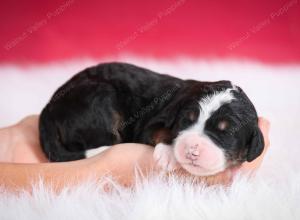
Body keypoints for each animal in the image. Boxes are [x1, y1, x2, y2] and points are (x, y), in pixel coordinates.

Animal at [38, 62, 264, 176]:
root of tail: (48, 107)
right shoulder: (150, 123)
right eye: (186, 120)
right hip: (99, 101)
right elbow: (161, 131)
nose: (192, 149)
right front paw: (169, 154)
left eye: (227, 132)